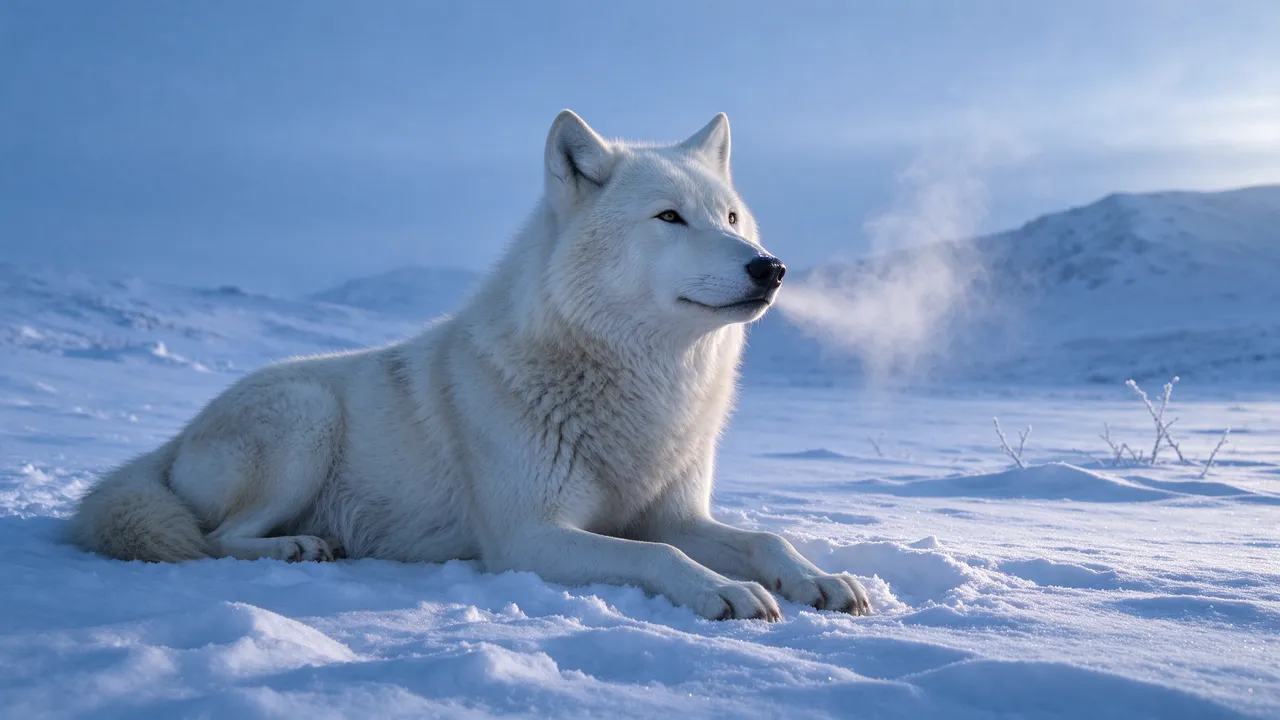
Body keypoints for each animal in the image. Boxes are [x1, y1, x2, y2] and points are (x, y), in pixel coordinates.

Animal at [70, 111, 871, 620]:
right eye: (669, 218)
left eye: (731, 218)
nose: (771, 268)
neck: (642, 386)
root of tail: (173, 439)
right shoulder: (529, 538)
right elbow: (663, 560)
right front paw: (727, 593)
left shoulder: (672, 514)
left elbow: (766, 537)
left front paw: (822, 581)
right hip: (304, 419)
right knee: (212, 539)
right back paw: (297, 546)